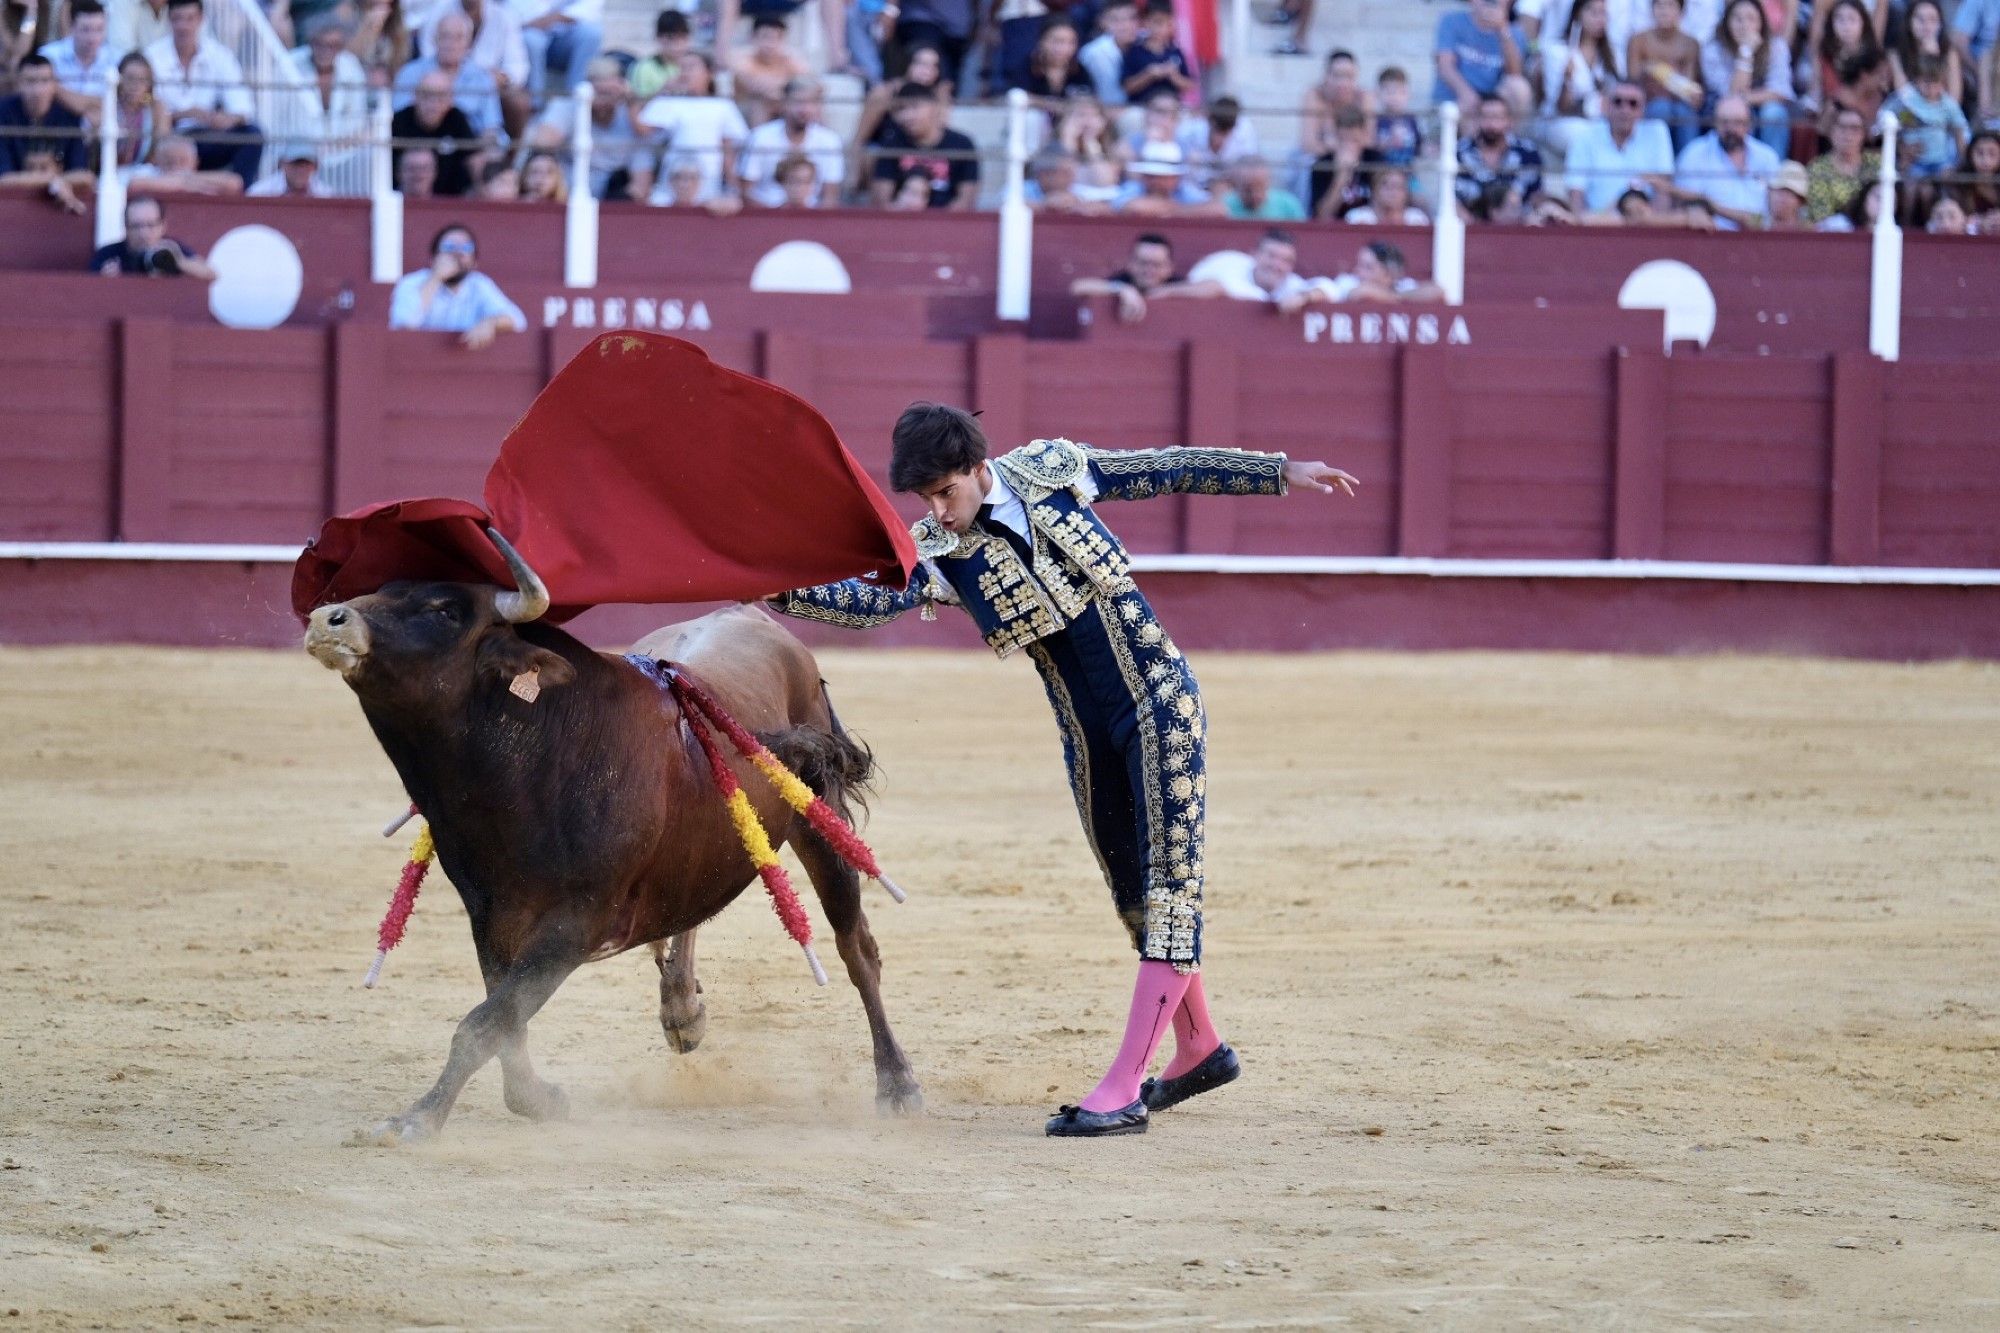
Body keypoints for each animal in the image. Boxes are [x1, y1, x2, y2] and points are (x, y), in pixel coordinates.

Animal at [300, 528, 924, 1144]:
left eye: (446, 609)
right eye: (384, 589)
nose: (328, 618)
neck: (530, 761)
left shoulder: (577, 921)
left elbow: (485, 1022)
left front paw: (415, 1119)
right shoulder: (490, 914)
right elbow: (504, 1017)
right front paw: (537, 1099)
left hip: (820, 819)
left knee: (856, 947)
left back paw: (897, 1084)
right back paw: (682, 1011)